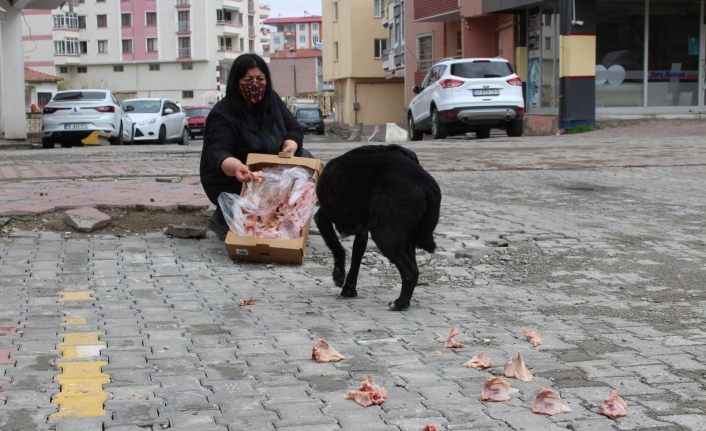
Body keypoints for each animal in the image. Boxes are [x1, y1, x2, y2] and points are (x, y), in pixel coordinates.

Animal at [314, 145, 440, 310]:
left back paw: (399, 303)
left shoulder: (322, 218)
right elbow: (355, 259)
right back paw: (405, 301)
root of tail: (426, 183)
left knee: (410, 272)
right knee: (415, 269)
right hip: (405, 241)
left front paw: (339, 276)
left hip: (384, 237)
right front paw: (349, 289)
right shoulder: (362, 232)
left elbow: (337, 248)